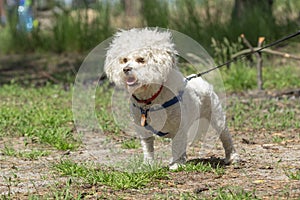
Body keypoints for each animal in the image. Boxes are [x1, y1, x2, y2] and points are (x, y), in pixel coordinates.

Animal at [104, 27, 238, 169]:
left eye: (141, 59)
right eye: (124, 60)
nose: (126, 69)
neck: (149, 100)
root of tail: (201, 80)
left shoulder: (179, 127)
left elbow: (177, 145)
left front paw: (177, 164)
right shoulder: (143, 130)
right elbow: (148, 147)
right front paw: (148, 164)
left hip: (217, 117)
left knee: (225, 137)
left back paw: (232, 157)